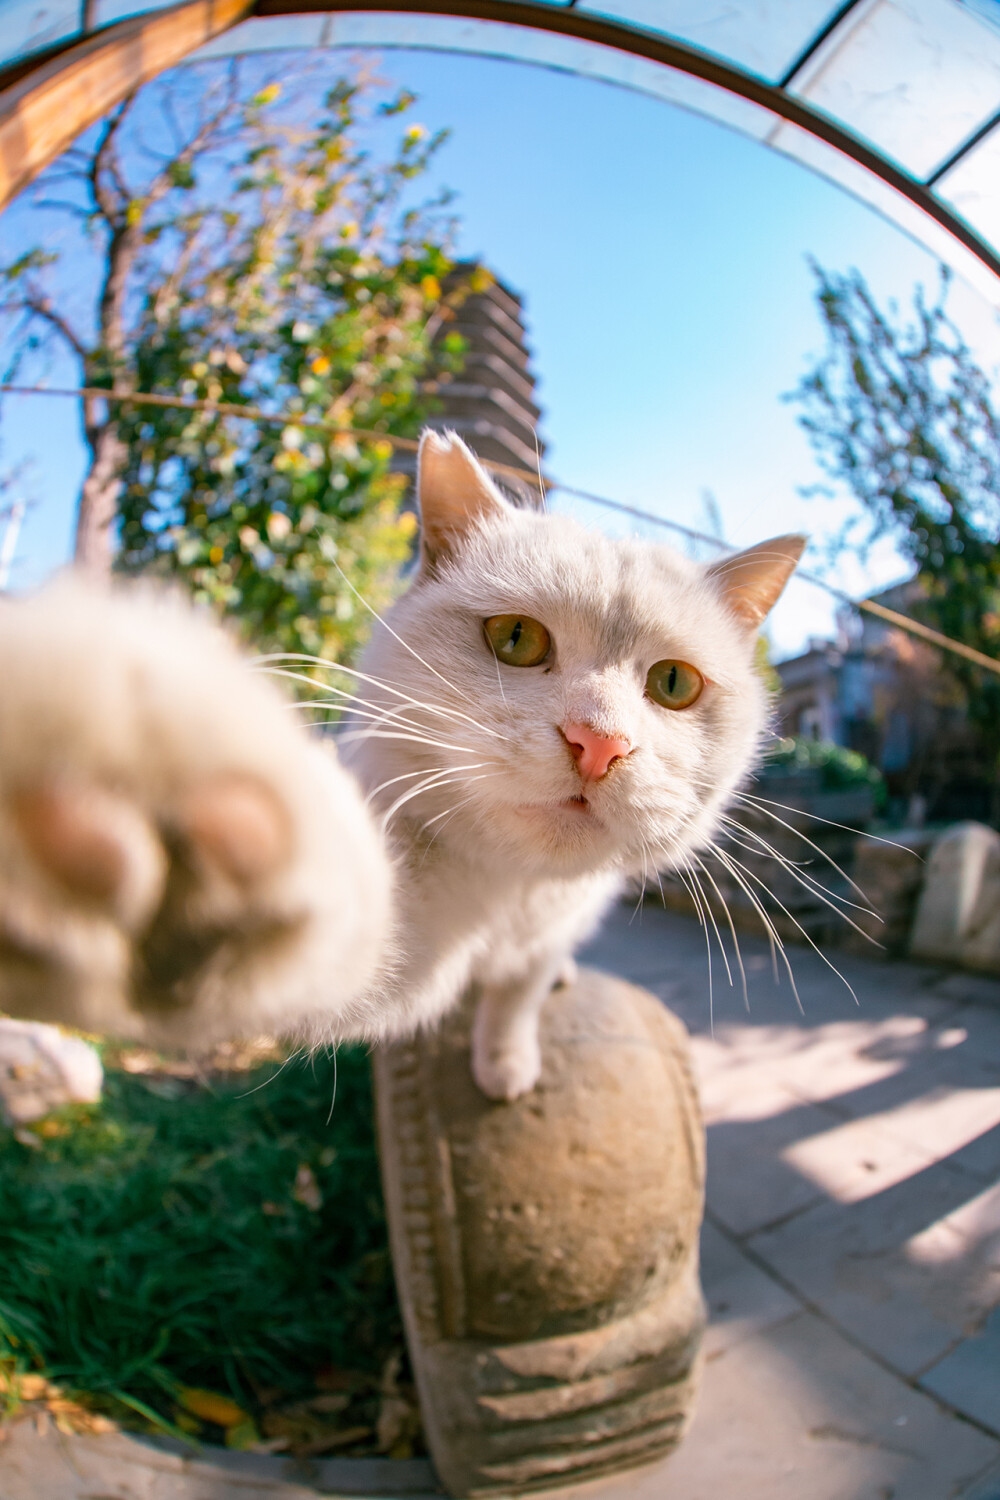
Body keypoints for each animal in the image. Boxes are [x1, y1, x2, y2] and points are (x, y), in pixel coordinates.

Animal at [0, 429, 803, 1098]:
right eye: (516, 638)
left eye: (673, 684)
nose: (599, 742)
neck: (514, 896)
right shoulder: (408, 940)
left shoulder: (552, 932)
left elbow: (517, 997)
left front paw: (506, 1065)